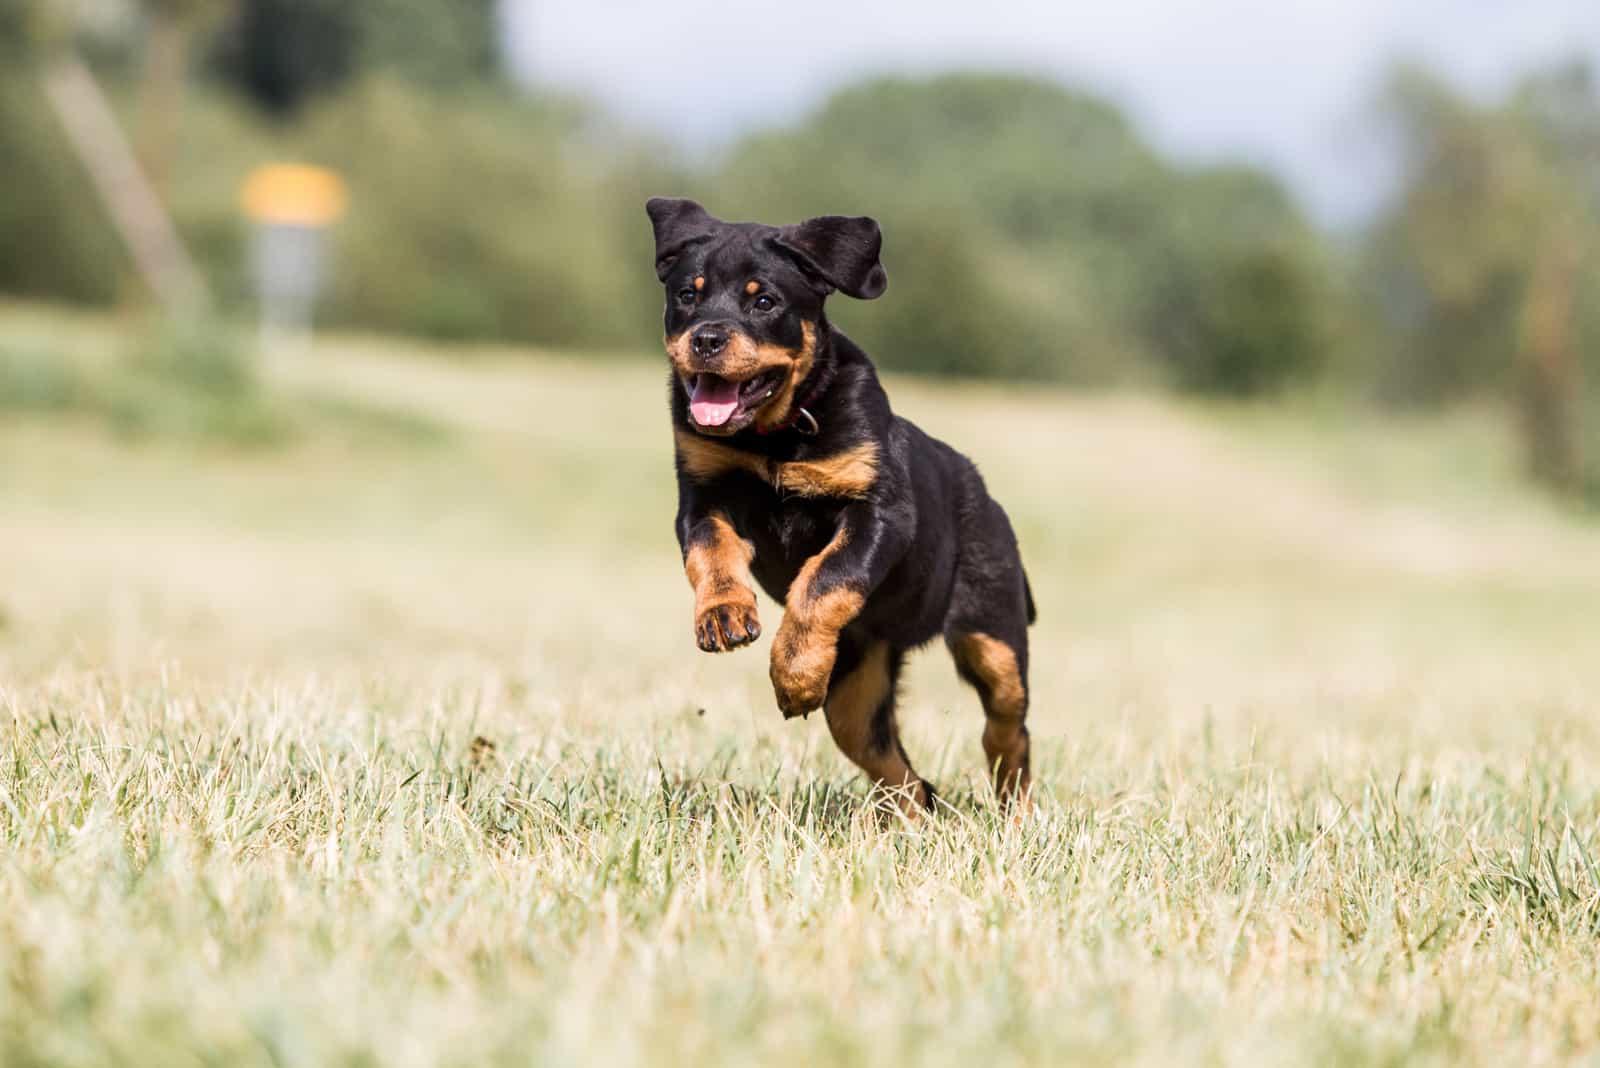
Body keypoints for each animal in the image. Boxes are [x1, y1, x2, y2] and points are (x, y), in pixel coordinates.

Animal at [649, 199, 1036, 812]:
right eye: (688, 294)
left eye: (764, 301)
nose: (706, 339)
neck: (775, 435)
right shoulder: (704, 496)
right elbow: (710, 554)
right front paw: (725, 615)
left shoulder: (878, 513)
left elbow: (826, 577)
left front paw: (793, 673)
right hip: (857, 681)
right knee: (898, 770)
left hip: (993, 633)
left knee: (1008, 728)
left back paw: (1013, 811)